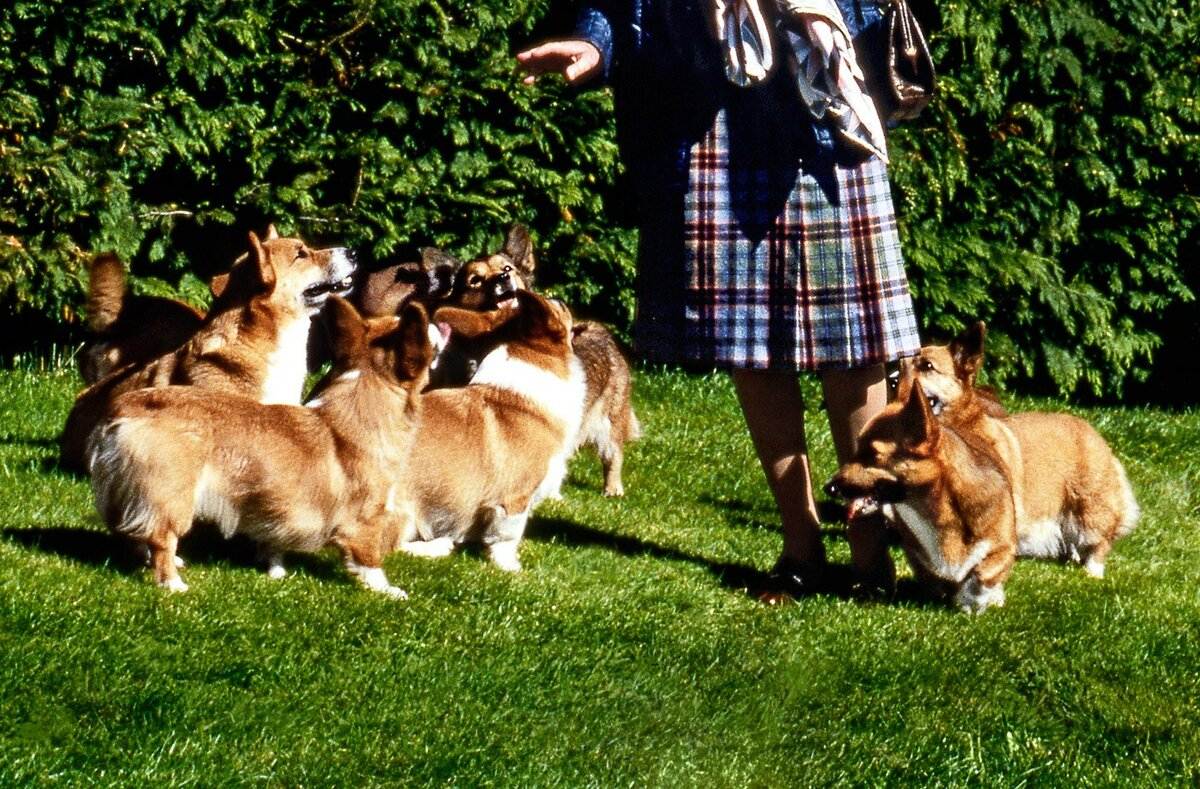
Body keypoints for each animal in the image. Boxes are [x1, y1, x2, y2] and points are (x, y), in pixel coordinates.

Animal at [88, 298, 436, 592]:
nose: (435, 323)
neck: (362, 399)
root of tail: (124, 407)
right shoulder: (365, 521)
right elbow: (369, 561)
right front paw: (388, 591)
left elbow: (274, 543)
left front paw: (276, 570)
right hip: (172, 495)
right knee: (161, 538)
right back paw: (172, 583)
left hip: (142, 491)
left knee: (139, 530)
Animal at [398, 288, 585, 570]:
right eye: (561, 307)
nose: (561, 298)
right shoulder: (515, 499)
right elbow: (508, 536)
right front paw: (511, 568)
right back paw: (434, 547)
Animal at [830, 378, 1017, 609]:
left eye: (872, 454)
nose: (829, 487)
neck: (934, 508)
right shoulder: (917, 553)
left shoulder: (1003, 546)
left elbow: (983, 572)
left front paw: (976, 599)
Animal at [902, 321, 1137, 577]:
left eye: (928, 366)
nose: (893, 380)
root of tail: (1093, 432)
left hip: (1090, 506)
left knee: (1099, 540)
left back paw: (1092, 572)